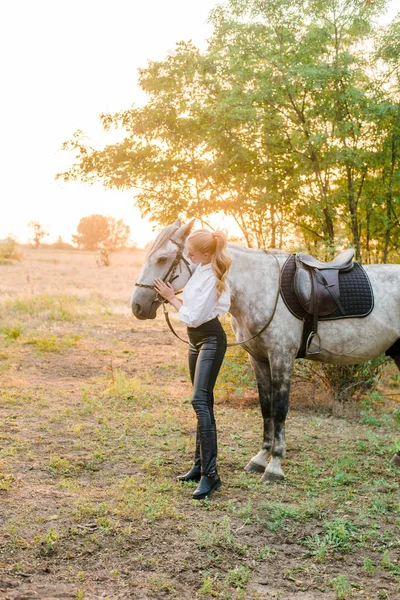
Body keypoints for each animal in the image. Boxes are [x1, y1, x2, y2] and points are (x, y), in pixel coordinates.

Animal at [130, 218, 398, 480]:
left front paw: (274, 466)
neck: (260, 287)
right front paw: (260, 459)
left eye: (162, 258)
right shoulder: (258, 358)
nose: (137, 306)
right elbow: (265, 406)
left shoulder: (281, 356)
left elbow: (279, 409)